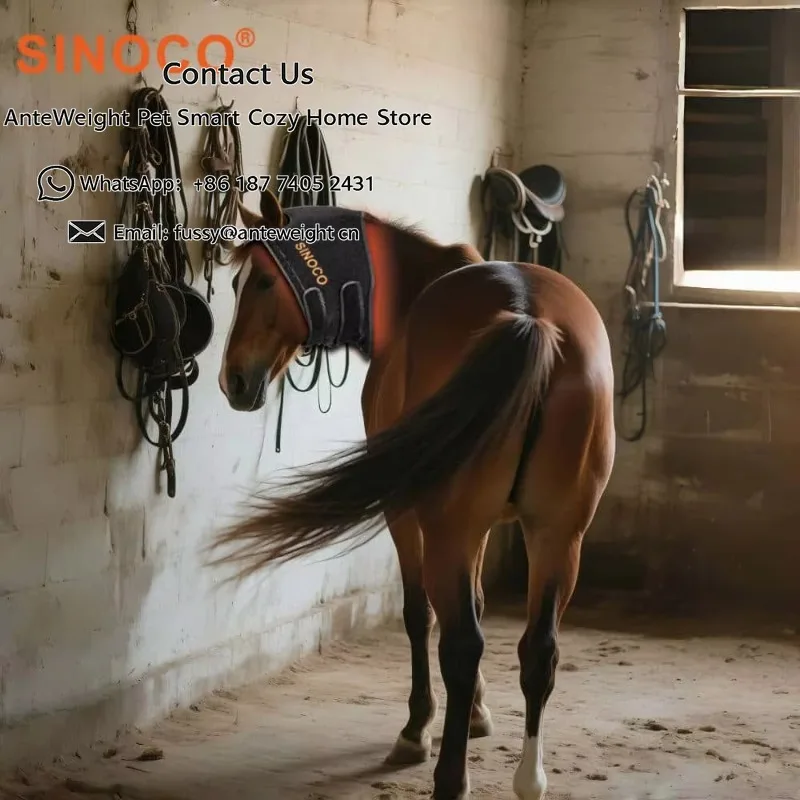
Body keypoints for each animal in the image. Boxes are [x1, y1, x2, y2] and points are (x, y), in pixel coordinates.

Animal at [210, 188, 615, 800]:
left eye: (257, 281)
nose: (232, 380)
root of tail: (529, 318)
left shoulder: (406, 512)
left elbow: (418, 613)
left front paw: (419, 727)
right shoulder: (487, 529)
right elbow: (477, 604)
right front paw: (478, 715)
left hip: (454, 530)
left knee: (462, 645)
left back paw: (449, 776)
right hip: (557, 537)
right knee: (539, 650)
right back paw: (529, 777)